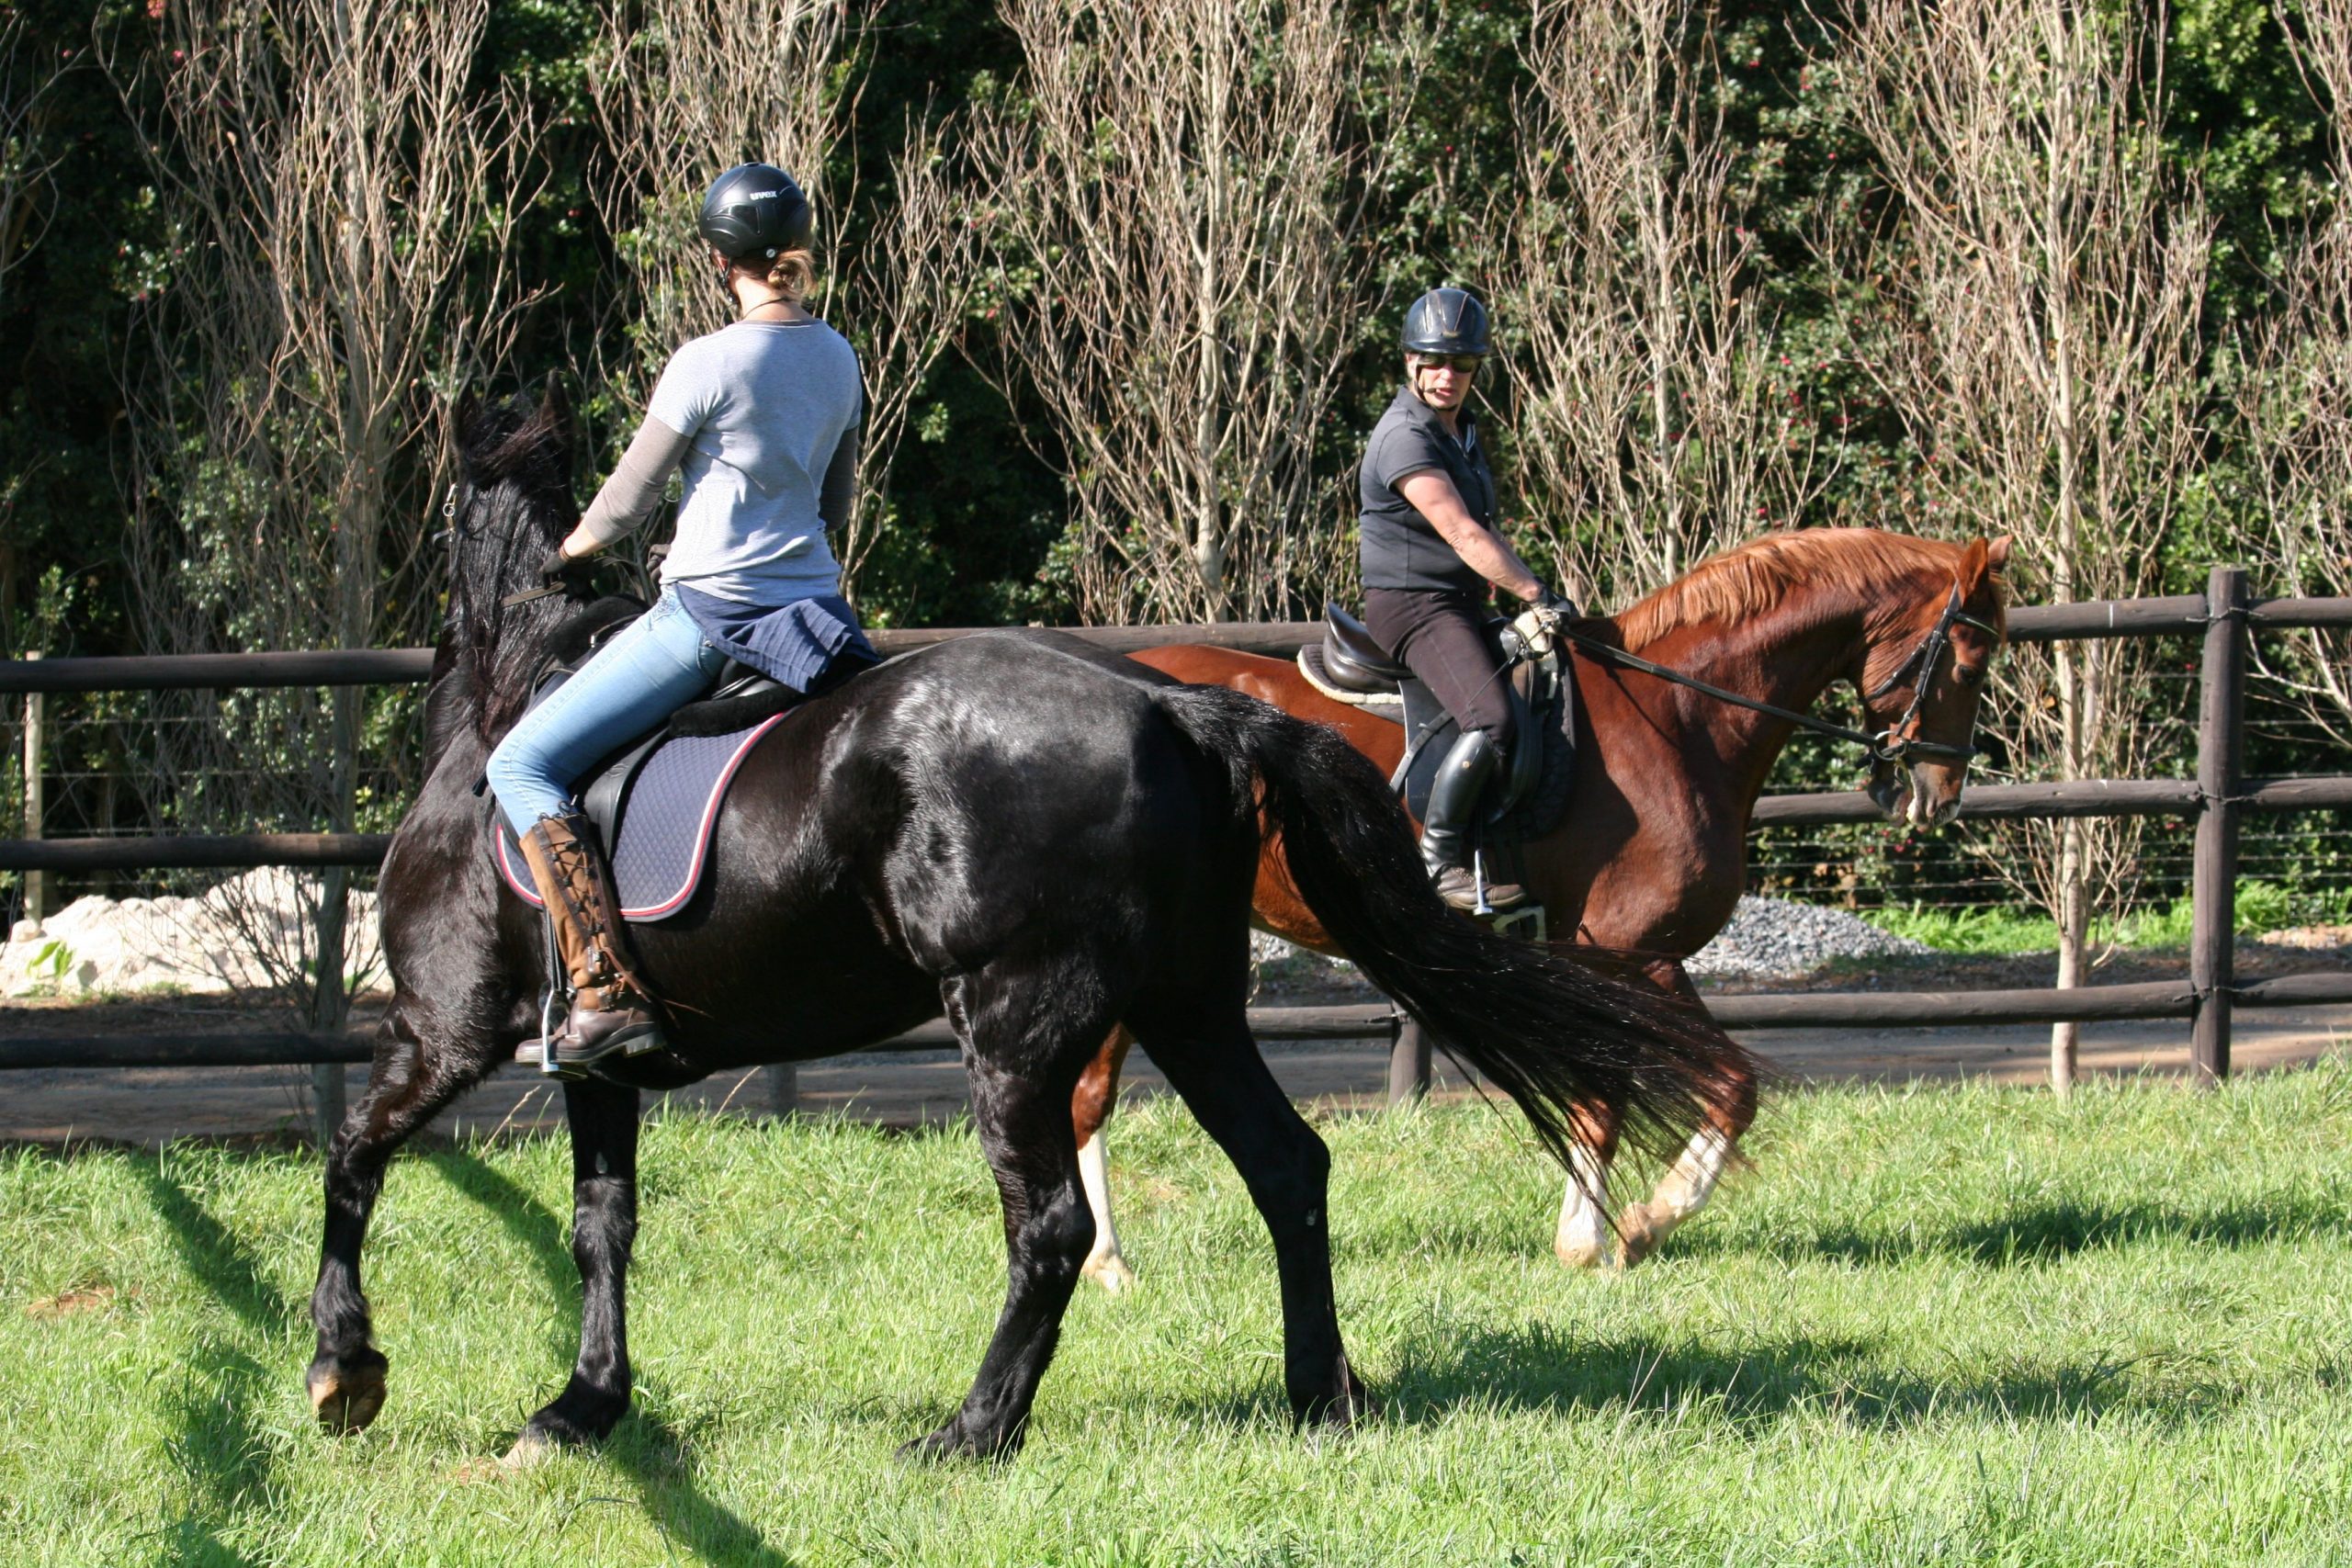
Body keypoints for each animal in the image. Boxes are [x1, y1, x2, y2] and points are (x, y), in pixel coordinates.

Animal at [303, 389, 1758, 1457]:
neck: (506, 712)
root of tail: (1176, 704)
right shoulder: (599, 1061)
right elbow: (601, 1226)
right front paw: (581, 1407)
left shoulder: (447, 1028)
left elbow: (353, 1160)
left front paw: (342, 1368)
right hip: (1187, 1002)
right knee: (1286, 1168)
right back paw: (1321, 1393)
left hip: (1015, 1021)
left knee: (1051, 1224)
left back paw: (971, 1430)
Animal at [1077, 531, 2013, 1288]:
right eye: (1969, 663)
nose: (1937, 794)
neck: (1681, 715)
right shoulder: (1629, 950)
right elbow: (1708, 1088)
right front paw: (1628, 1227)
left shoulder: (1627, 955)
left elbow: (1635, 1093)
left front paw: (1595, 1232)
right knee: (1090, 1091)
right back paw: (1110, 1263)